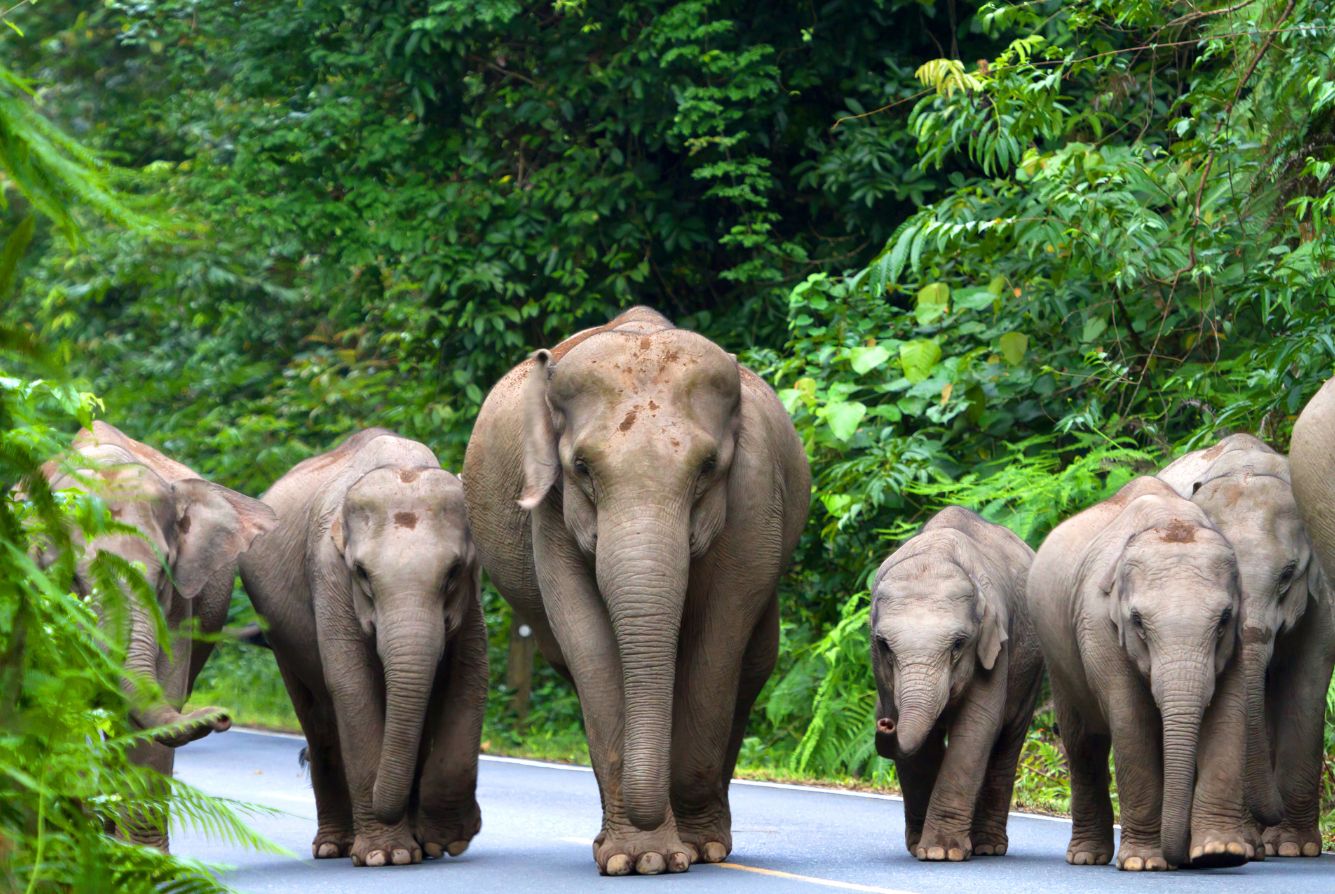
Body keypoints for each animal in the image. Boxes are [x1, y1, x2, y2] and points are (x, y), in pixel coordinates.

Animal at [41, 421, 276, 848]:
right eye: (74, 580)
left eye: (163, 574)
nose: (222, 716)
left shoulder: (181, 604)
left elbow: (158, 702)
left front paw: (141, 858)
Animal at [239, 429, 486, 868]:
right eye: (362, 574)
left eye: (453, 572)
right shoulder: (328, 575)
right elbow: (352, 686)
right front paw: (387, 856)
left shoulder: (472, 594)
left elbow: (469, 677)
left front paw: (445, 841)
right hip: (280, 636)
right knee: (319, 720)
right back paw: (334, 847)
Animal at [463, 307, 810, 876]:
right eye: (582, 468)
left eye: (708, 468)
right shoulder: (550, 515)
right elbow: (588, 644)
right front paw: (640, 859)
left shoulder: (755, 498)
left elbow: (718, 642)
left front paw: (693, 851)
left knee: (754, 663)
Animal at [870, 506, 1043, 862]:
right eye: (884, 645)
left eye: (959, 644)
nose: (884, 722)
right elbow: (922, 744)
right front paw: (924, 848)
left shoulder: (996, 646)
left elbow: (977, 727)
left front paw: (941, 852)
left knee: (1007, 741)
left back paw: (989, 847)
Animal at [1027, 476, 1253, 870]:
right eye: (1138, 622)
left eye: (1224, 620)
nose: (1185, 861)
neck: (1171, 520)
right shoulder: (1097, 625)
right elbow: (1131, 721)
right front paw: (1145, 863)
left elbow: (1228, 716)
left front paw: (1219, 853)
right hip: (1058, 659)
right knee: (1083, 744)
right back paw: (1087, 856)